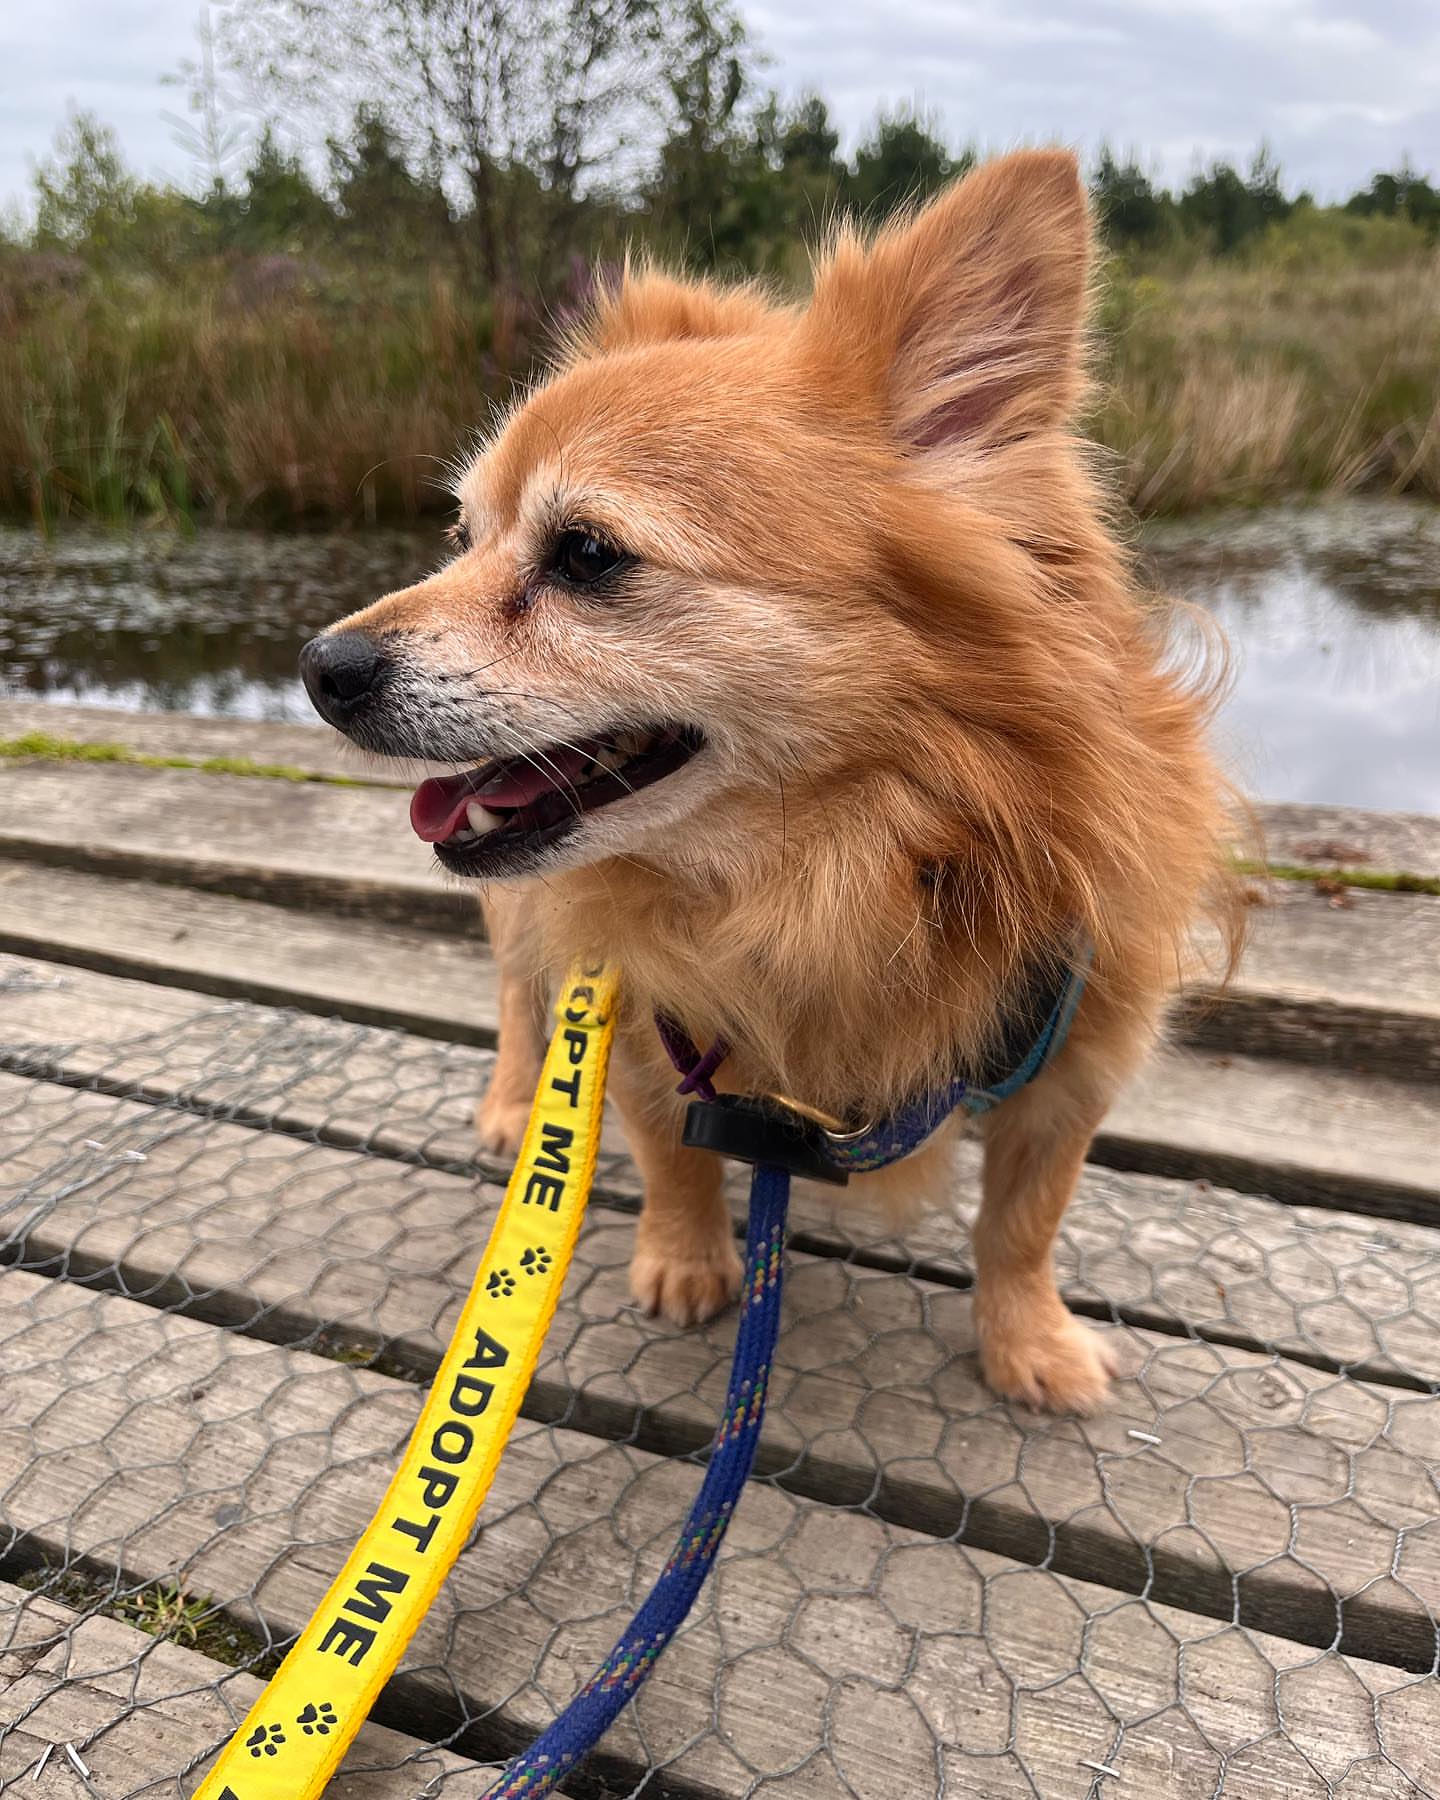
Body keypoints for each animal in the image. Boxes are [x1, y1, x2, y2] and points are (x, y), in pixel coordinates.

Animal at [300, 151, 1238, 1418]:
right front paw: (686, 1264)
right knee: (516, 1001)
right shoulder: (637, 1016)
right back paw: (507, 1108)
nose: (319, 667)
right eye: (461, 538)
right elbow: (670, 1156)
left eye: (585, 554)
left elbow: (1022, 1221)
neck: (844, 869)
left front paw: (1028, 1345)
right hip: (517, 921)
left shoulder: (1075, 1058)